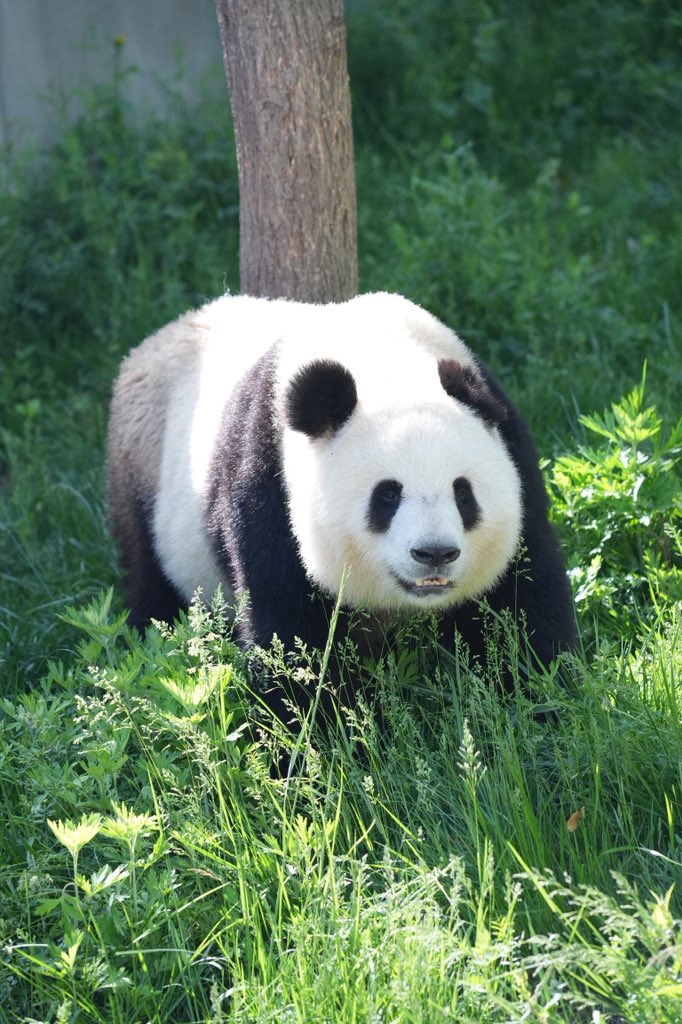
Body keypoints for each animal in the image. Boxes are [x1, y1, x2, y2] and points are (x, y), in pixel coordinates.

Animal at [108, 292, 576, 697]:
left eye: (464, 494)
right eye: (386, 496)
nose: (435, 553)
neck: (382, 360)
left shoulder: (512, 444)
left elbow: (524, 595)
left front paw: (542, 699)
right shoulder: (266, 478)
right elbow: (289, 628)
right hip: (144, 477)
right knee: (152, 582)